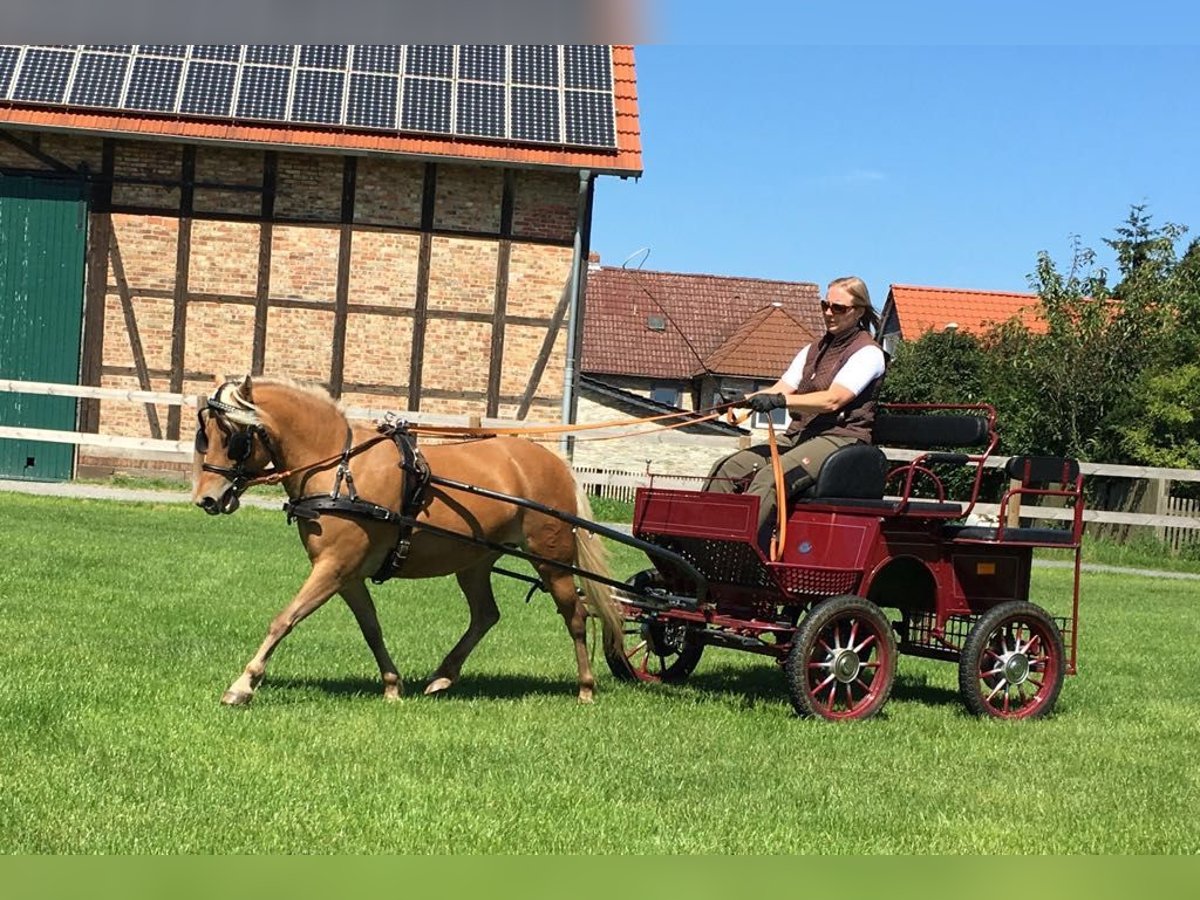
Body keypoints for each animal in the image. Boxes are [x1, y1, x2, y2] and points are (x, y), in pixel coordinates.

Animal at [191, 375, 624, 706]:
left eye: (233, 436)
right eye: (204, 434)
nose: (207, 499)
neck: (339, 467)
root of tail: (555, 463)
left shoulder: (334, 567)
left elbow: (285, 618)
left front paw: (242, 685)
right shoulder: (348, 576)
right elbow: (371, 629)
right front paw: (392, 686)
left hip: (551, 559)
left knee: (576, 616)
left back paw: (586, 688)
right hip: (475, 562)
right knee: (486, 615)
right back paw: (443, 676)